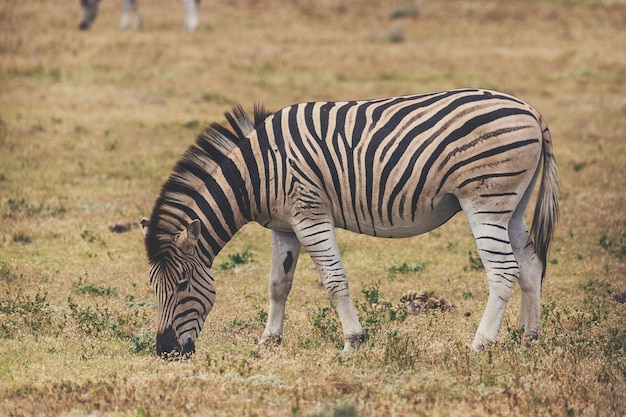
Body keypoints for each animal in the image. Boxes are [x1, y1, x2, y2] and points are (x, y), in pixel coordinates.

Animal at [140, 87, 556, 354]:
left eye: (181, 286)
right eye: (153, 288)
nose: (165, 351)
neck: (256, 173)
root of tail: (531, 110)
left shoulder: (309, 214)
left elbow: (333, 281)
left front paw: (352, 342)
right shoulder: (283, 226)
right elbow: (277, 284)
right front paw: (269, 341)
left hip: (484, 200)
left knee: (503, 271)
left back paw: (481, 344)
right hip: (512, 206)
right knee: (530, 265)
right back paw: (529, 338)